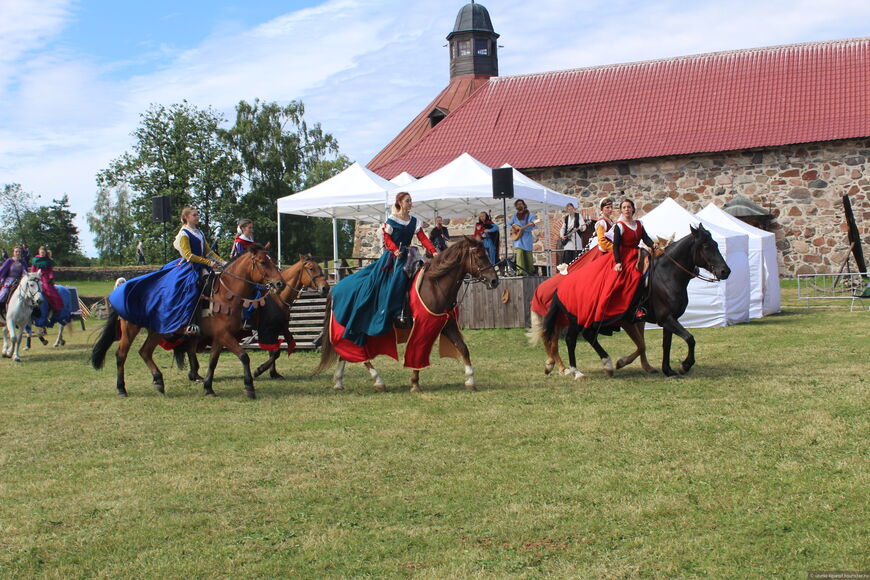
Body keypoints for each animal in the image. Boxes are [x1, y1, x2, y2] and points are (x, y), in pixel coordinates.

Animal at [93, 245, 288, 398]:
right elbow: (244, 356)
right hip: (130, 328)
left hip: (156, 330)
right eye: (263, 262)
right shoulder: (224, 335)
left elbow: (213, 361)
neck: (227, 294)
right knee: (121, 355)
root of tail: (120, 289)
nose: (280, 284)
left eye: (271, 260)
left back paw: (159, 382)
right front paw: (249, 387)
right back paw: (121, 389)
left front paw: (208, 388)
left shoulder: (219, 336)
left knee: (145, 352)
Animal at [316, 237, 500, 394]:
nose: (494, 281)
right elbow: (418, 351)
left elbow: (463, 348)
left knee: (344, 353)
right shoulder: (424, 326)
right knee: (358, 353)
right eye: (479, 255)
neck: (435, 285)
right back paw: (378, 381)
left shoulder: (447, 325)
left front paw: (470, 381)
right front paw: (414, 383)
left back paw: (339, 382)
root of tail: (336, 287)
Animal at [540, 224, 736, 378]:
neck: (667, 275)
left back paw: (600, 366)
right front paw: (684, 365)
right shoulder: (663, 319)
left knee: (582, 337)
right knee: (573, 339)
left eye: (716, 244)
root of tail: (562, 283)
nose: (725, 271)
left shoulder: (668, 320)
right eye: (706, 245)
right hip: (580, 317)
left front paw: (668, 370)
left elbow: (666, 345)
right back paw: (580, 370)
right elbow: (689, 338)